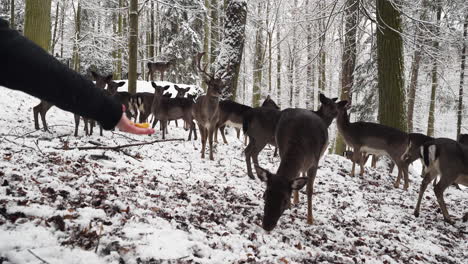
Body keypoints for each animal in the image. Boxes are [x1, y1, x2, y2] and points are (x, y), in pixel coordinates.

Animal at [252, 94, 340, 230]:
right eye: (265, 195)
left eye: (285, 200)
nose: (267, 225)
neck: (299, 140)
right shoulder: (281, 151)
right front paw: (294, 202)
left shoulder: (315, 162)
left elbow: (309, 190)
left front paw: (310, 219)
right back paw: (297, 199)